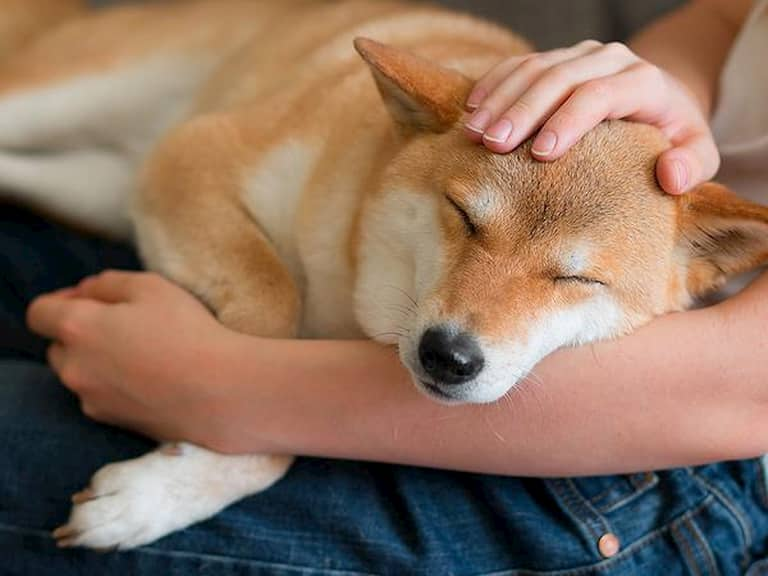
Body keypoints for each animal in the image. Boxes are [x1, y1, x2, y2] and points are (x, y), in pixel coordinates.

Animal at [1, 0, 768, 552]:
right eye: (464, 217)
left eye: (578, 281)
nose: (448, 356)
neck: (346, 286)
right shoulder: (193, 154)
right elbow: (270, 307)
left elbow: (259, 410)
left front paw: (159, 490)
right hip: (65, 98)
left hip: (93, 186)